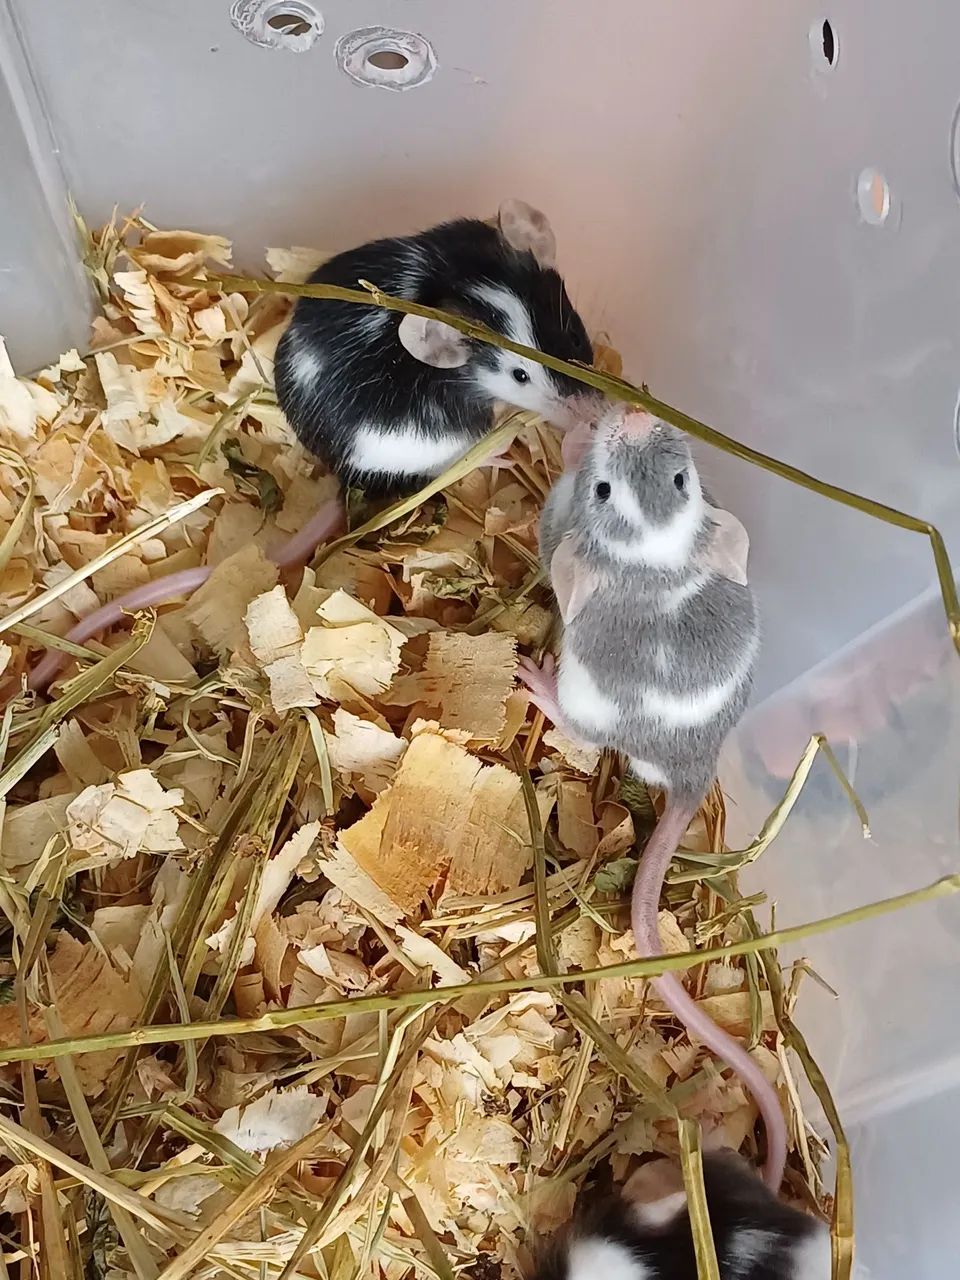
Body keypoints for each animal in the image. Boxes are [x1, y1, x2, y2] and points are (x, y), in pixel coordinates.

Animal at [520, 405, 787, 1190]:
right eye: (684, 479)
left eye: (602, 491)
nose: (635, 414)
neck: (657, 554)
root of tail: (691, 767)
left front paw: (573, 434)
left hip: (581, 699)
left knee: (574, 717)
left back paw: (535, 681)